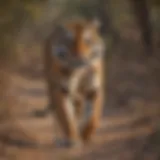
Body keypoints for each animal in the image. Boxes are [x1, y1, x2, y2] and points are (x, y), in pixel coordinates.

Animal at [43, 18, 105, 148]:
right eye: (69, 41)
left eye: (87, 41)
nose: (79, 57)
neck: (79, 71)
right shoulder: (61, 90)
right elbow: (66, 117)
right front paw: (73, 139)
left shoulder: (93, 89)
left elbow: (93, 117)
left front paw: (85, 136)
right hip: (51, 86)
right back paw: (60, 140)